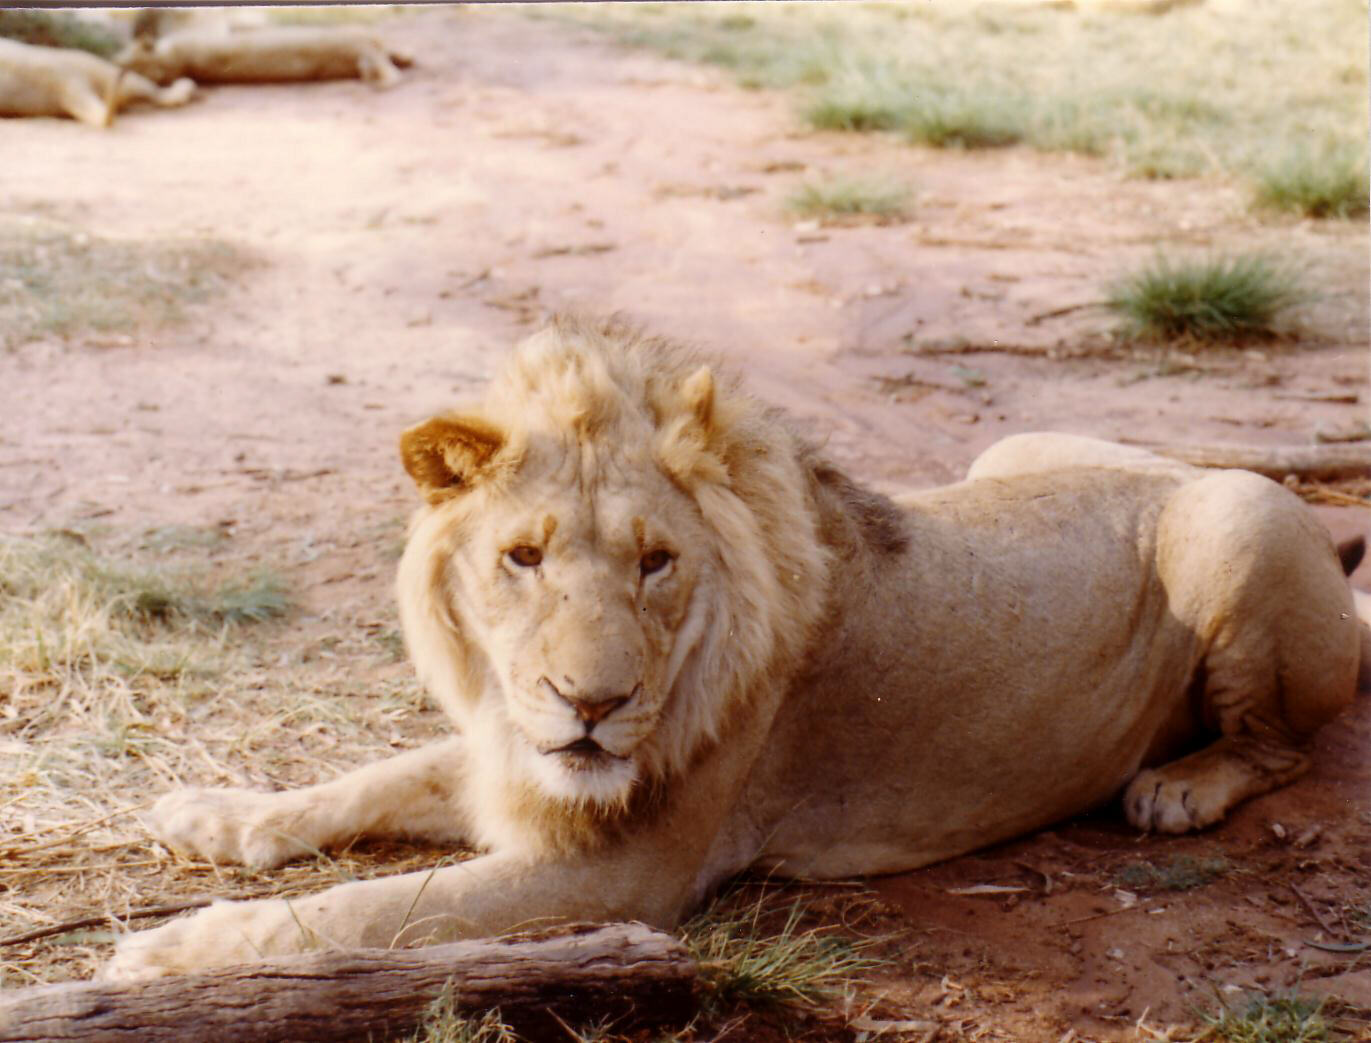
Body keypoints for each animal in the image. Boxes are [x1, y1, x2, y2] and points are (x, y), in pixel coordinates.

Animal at [101, 315, 1365, 975]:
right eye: (523, 556)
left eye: (657, 561)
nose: (593, 704)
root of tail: (1185, 469)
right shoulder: (519, 750)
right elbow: (362, 781)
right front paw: (209, 811)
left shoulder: (621, 870)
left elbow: (370, 911)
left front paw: (168, 953)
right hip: (1019, 448)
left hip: (1235, 522)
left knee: (1280, 745)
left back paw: (1180, 787)